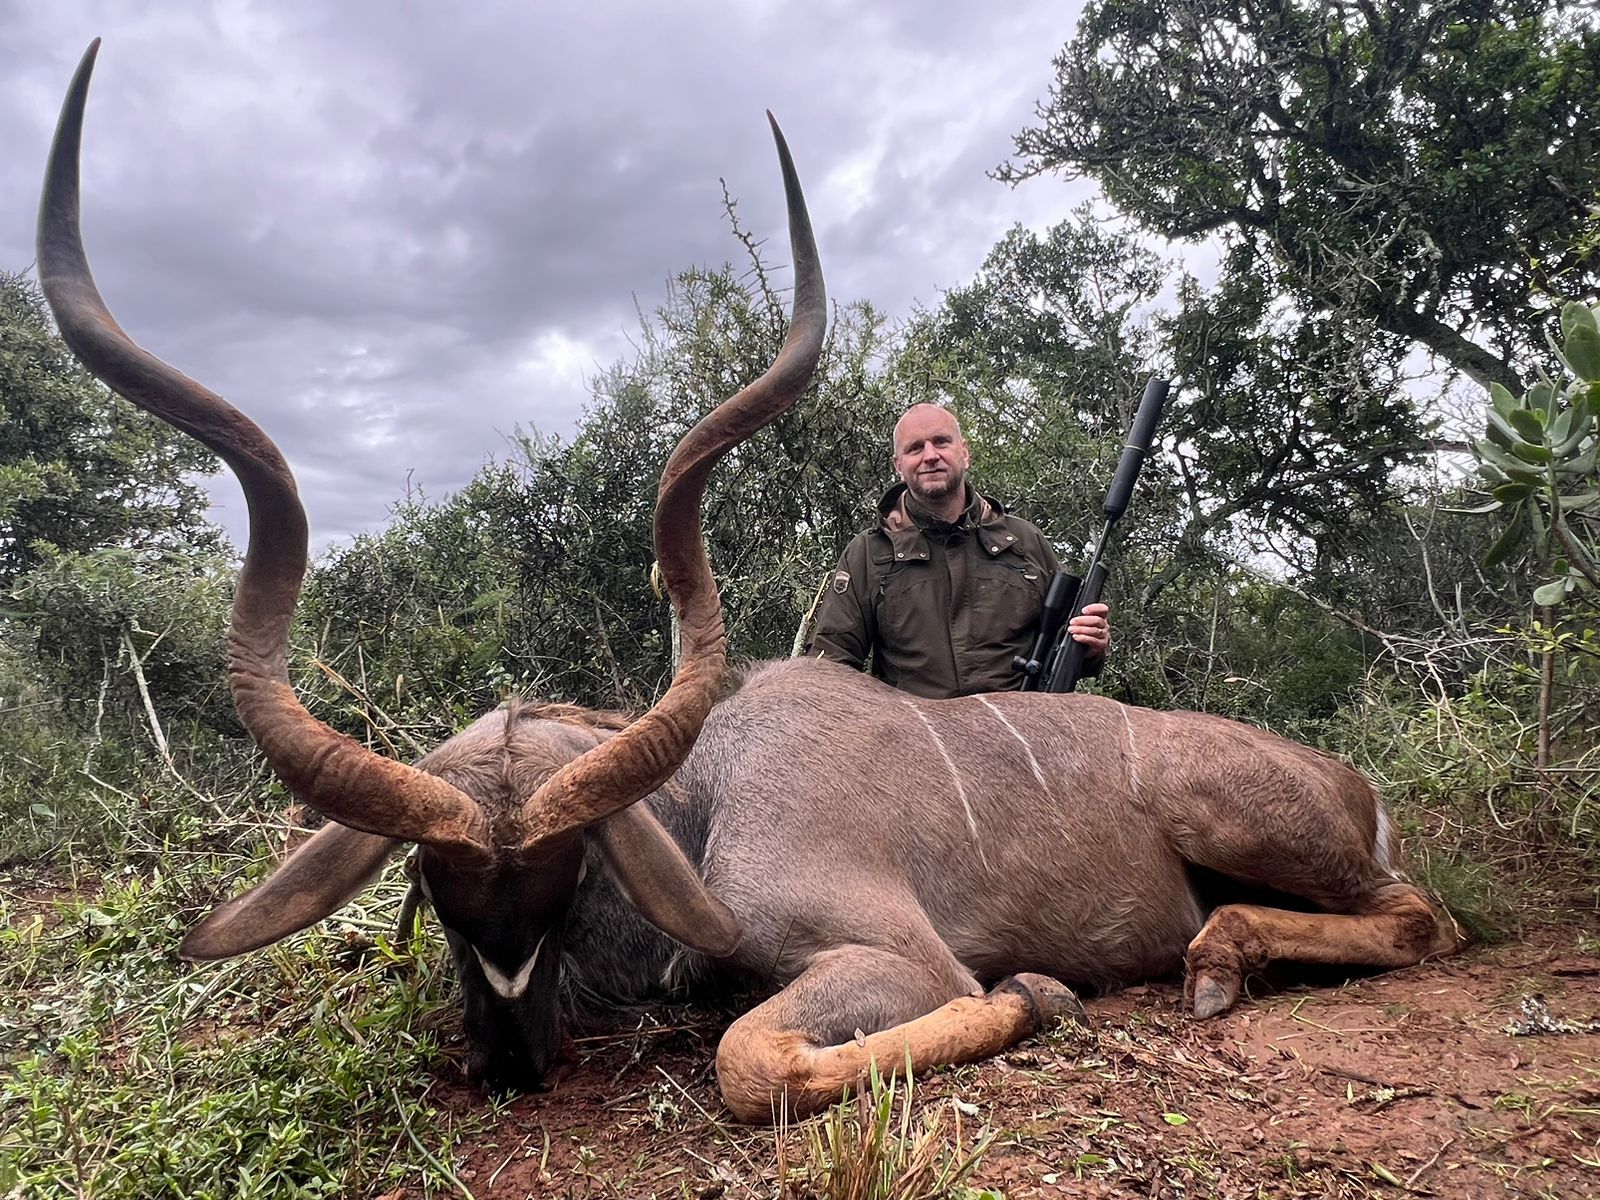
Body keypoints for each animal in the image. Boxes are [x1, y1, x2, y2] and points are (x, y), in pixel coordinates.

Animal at [40, 41, 1461, 1123]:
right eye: (436, 896)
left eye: (563, 885)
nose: (510, 1066)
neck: (705, 805)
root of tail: (1357, 788)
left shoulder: (899, 954)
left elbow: (754, 1056)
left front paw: (1040, 993)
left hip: (1242, 822)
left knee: (1425, 920)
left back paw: (1216, 960)